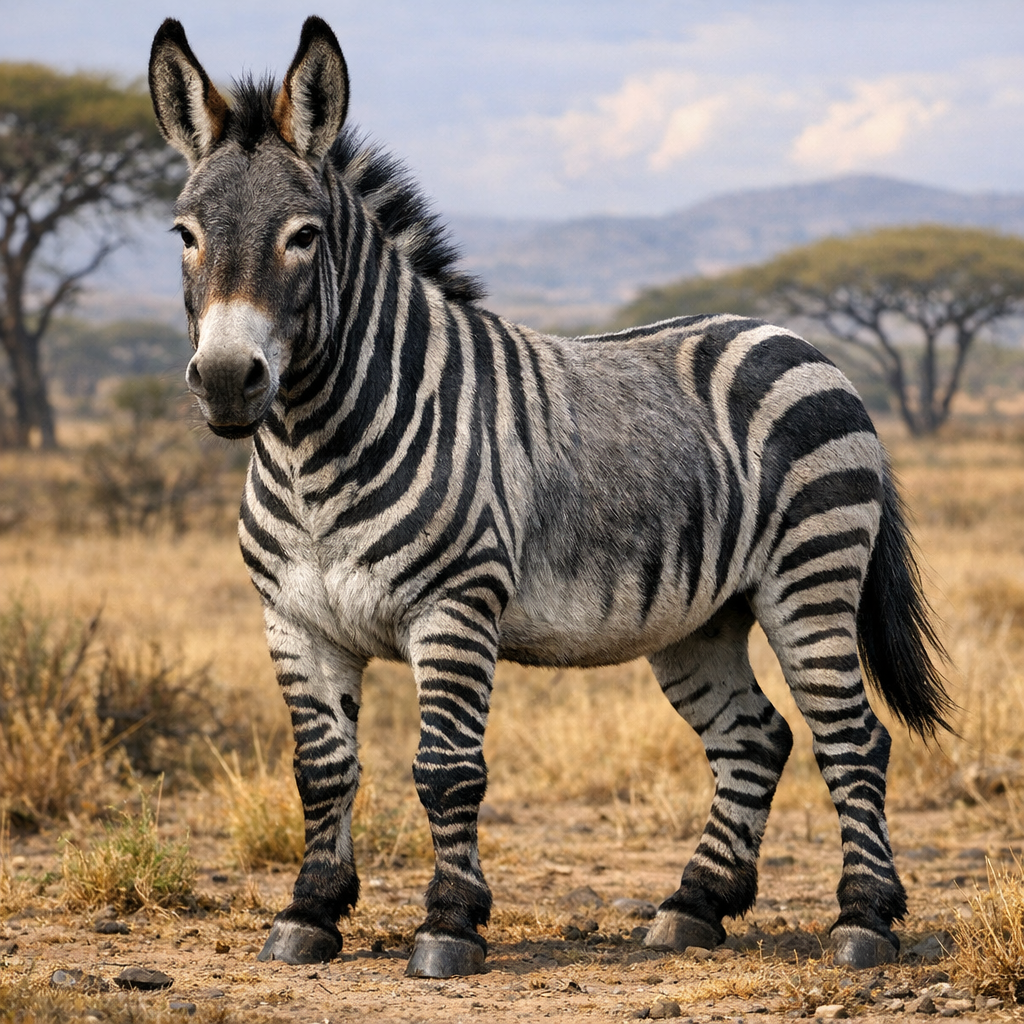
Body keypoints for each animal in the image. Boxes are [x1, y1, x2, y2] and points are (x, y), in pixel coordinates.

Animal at [149, 17, 952, 979]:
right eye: (185, 235)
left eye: (302, 238)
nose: (228, 382)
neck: (314, 454)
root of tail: (798, 340)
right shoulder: (295, 622)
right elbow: (321, 770)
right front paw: (310, 910)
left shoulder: (454, 608)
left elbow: (447, 770)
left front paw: (450, 924)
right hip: (700, 616)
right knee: (756, 737)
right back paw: (695, 904)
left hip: (811, 580)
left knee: (852, 738)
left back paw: (864, 919)